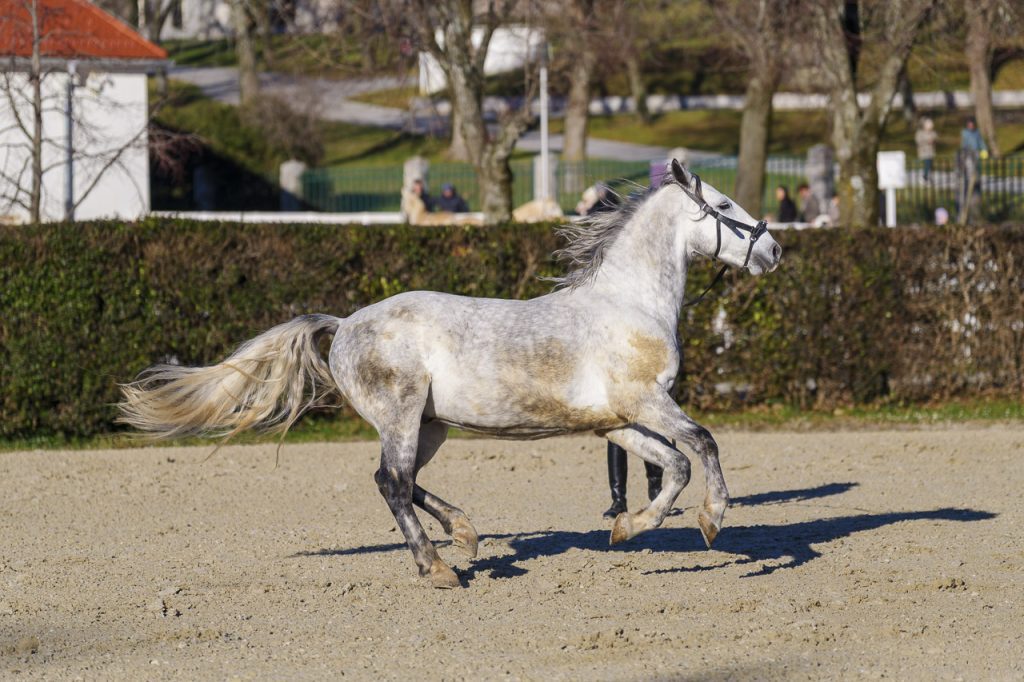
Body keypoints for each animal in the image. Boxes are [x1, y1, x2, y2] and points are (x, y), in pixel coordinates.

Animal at [119, 160, 782, 589]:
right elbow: (702, 444)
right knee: (391, 481)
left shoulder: (615, 421)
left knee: (403, 479)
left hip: (430, 424)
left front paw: (627, 530)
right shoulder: (646, 402)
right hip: (402, 415)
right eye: (724, 207)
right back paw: (437, 568)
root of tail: (345, 323)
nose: (774, 251)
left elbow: (672, 466)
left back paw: (463, 533)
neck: (630, 304)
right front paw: (713, 521)